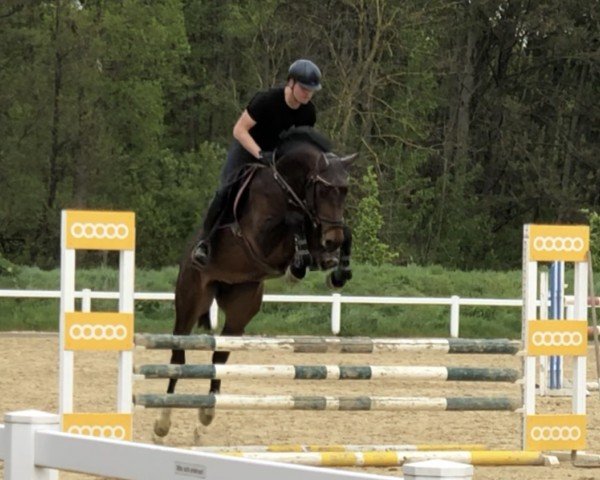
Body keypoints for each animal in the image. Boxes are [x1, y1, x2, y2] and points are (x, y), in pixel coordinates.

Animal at [152, 129, 356, 436]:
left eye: (344, 191)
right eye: (323, 190)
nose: (332, 240)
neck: (287, 188)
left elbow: (345, 232)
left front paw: (337, 272)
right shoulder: (260, 239)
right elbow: (293, 220)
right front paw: (298, 265)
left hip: (241, 306)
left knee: (220, 358)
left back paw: (207, 411)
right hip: (191, 297)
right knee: (178, 357)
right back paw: (163, 421)